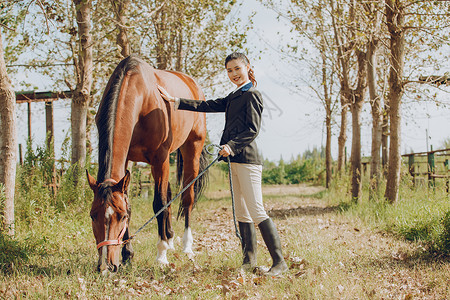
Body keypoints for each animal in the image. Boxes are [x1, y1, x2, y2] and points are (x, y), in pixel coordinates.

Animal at [85, 55, 207, 274]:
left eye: (121, 217)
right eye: (92, 215)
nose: (106, 266)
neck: (141, 97)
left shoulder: (160, 158)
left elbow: (159, 203)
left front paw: (161, 256)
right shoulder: (127, 159)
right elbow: (135, 202)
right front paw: (128, 256)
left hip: (191, 150)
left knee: (187, 198)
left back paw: (186, 247)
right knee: (169, 195)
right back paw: (170, 238)